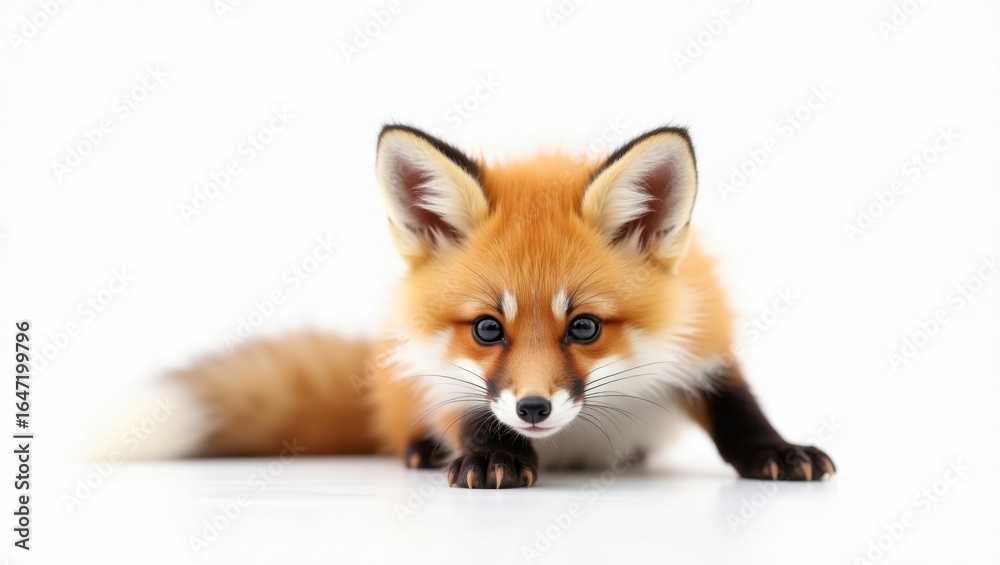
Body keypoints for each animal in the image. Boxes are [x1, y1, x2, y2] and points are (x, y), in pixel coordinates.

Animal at [102, 124, 835, 488]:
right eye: (487, 328)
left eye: (584, 327)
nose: (533, 408)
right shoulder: (442, 367)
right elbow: (470, 413)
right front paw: (490, 455)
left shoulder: (698, 330)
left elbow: (736, 404)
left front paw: (776, 450)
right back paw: (421, 451)